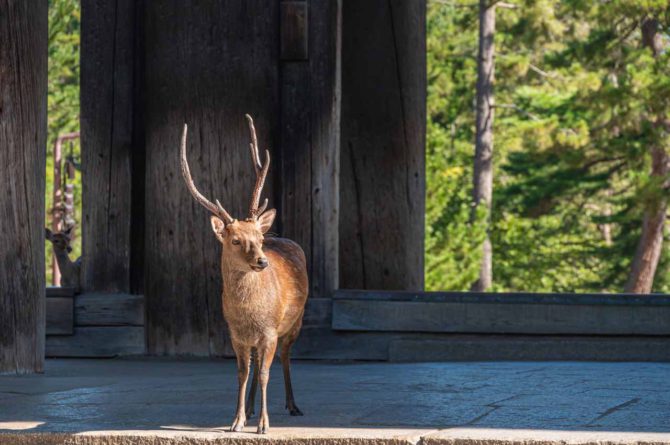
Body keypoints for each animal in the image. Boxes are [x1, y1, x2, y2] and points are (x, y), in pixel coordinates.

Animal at [178, 114, 310, 434]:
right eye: (235, 240)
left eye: (259, 238)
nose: (262, 261)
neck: (250, 313)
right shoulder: (236, 334)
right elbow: (242, 373)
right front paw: (236, 421)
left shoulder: (270, 331)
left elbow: (264, 374)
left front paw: (264, 424)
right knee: (256, 363)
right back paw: (249, 409)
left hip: (296, 321)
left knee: (285, 357)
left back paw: (292, 405)